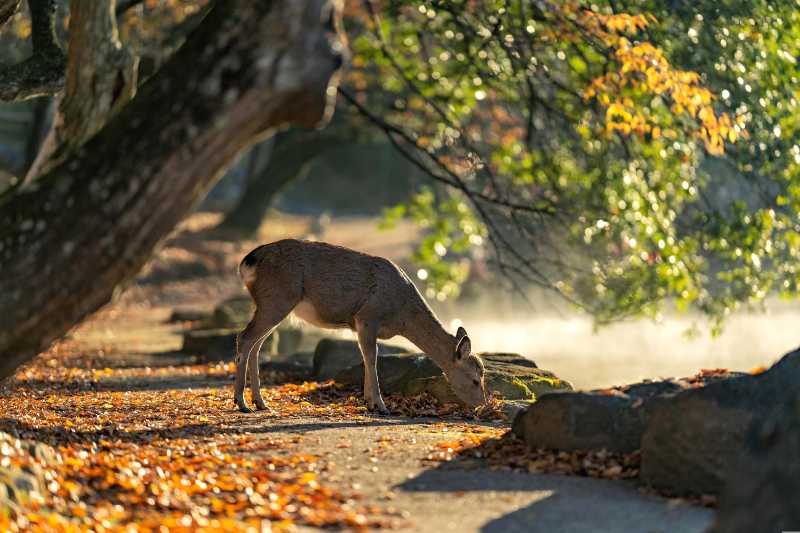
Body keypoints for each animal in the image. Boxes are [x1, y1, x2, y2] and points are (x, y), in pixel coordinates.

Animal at [233, 239, 487, 414]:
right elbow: (372, 357)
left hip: (270, 304)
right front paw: (381, 406)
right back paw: (242, 403)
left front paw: (369, 402)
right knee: (244, 338)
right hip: (277, 299)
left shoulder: (359, 324)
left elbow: (365, 357)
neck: (400, 315)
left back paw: (261, 403)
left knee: (256, 344)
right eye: (475, 379)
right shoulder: (367, 316)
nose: (482, 403)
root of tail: (247, 262)